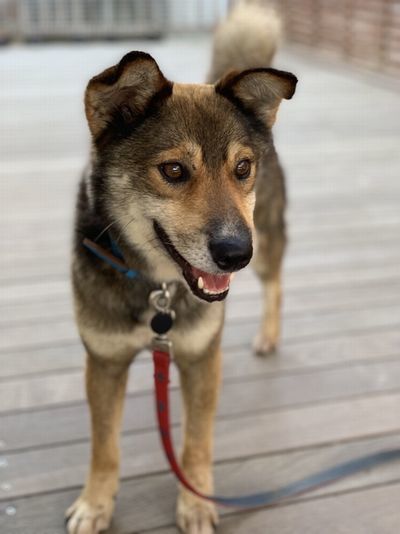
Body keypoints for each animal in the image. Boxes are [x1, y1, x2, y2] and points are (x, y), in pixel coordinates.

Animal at [66, 2, 297, 532]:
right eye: (173, 170)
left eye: (241, 168)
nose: (235, 254)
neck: (158, 288)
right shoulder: (103, 361)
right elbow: (103, 447)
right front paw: (96, 502)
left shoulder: (200, 358)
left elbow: (194, 445)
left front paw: (195, 503)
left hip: (266, 239)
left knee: (275, 282)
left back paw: (269, 335)